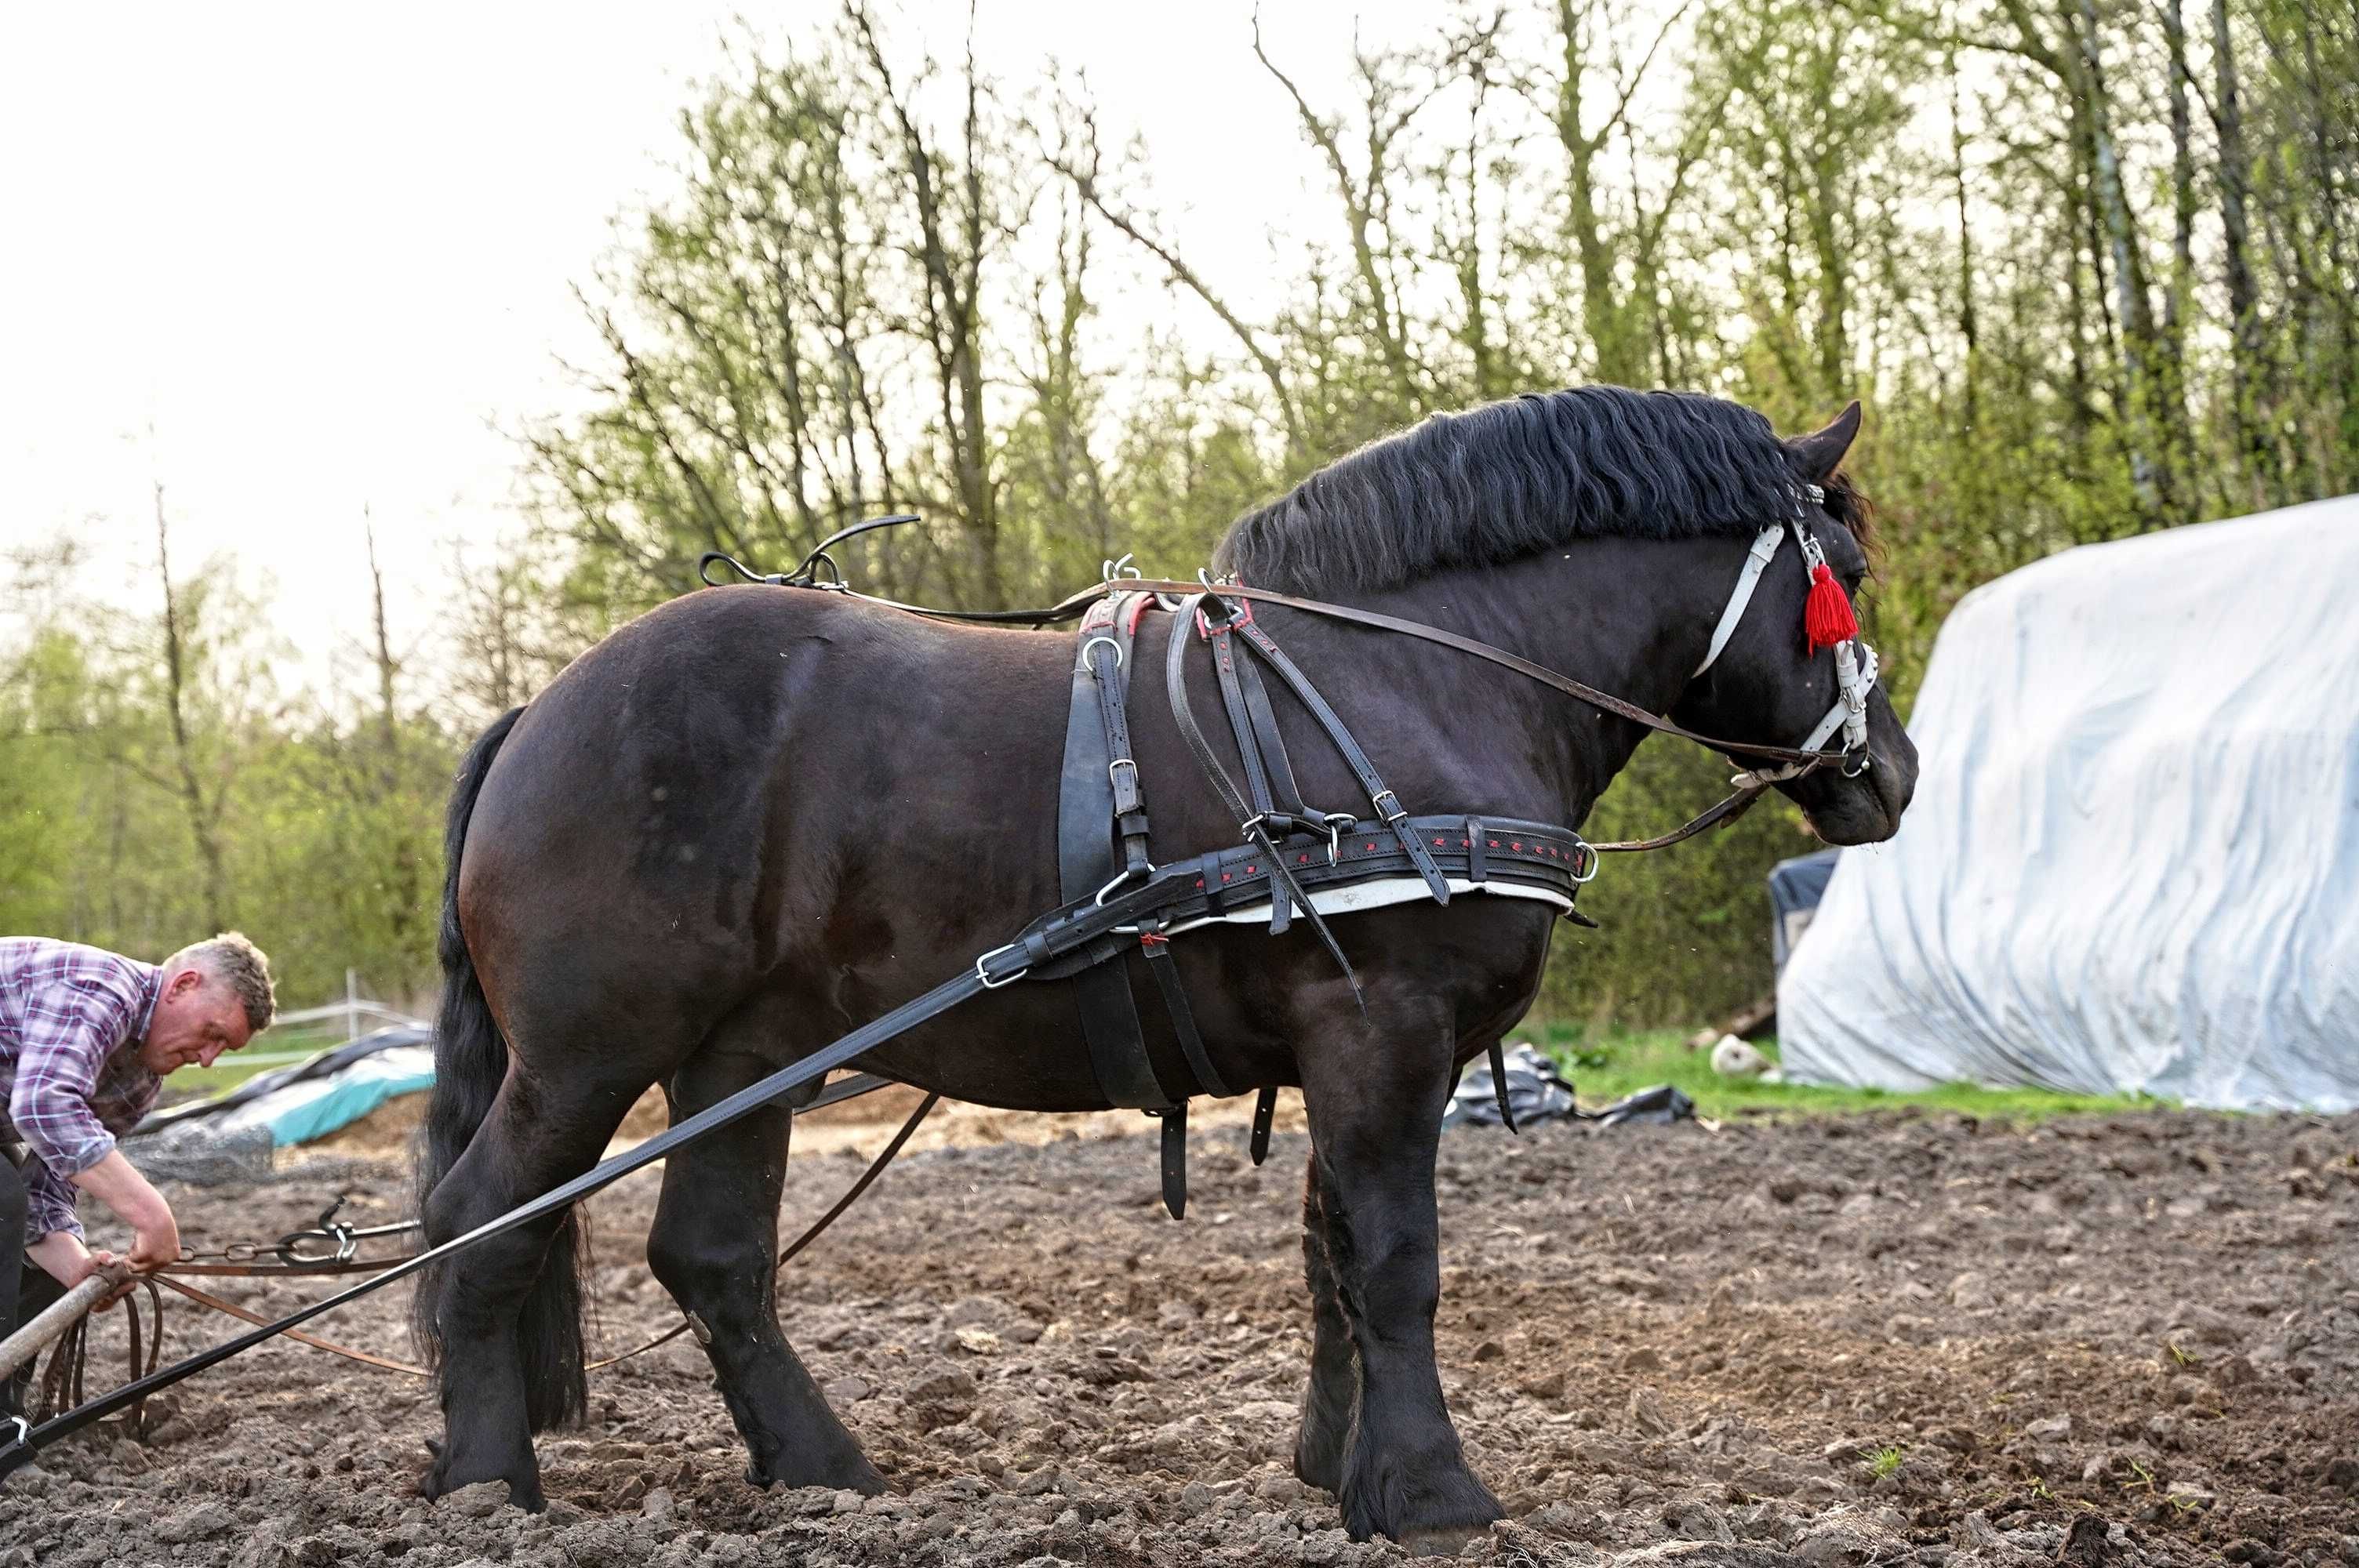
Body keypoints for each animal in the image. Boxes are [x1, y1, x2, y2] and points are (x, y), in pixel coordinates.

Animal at [405, 389, 1915, 1537]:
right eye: (1841, 578)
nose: (1890, 774)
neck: (1414, 683)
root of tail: (539, 709)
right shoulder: (1384, 1023)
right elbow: (1394, 1258)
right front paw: (1431, 1494)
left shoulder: (1363, 1050)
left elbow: (1328, 1252)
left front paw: (1339, 1469)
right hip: (588, 1054)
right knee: (482, 1223)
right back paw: (489, 1486)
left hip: (746, 1054)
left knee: (711, 1260)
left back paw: (824, 1474)